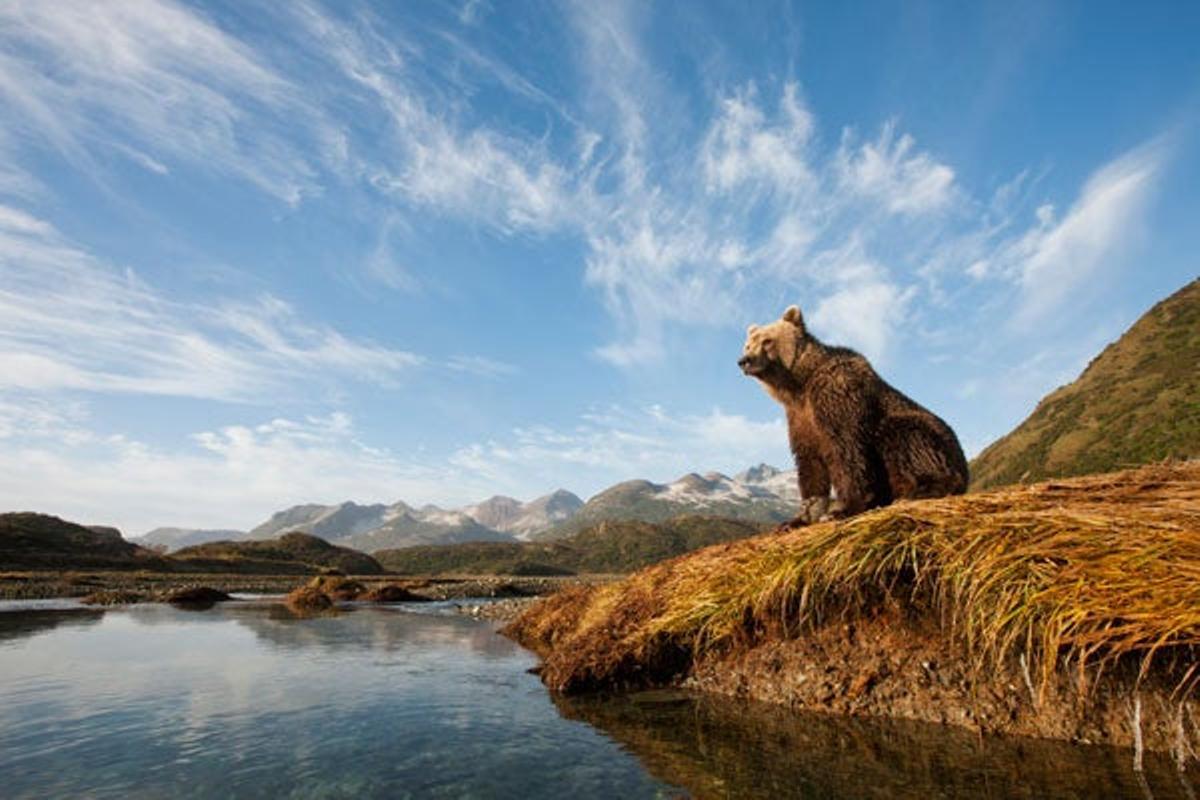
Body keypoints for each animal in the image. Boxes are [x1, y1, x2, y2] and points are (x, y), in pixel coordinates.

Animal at [739, 304, 968, 526]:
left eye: (767, 341)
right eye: (748, 344)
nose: (744, 361)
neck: (798, 385)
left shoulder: (837, 396)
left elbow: (848, 449)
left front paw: (843, 509)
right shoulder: (799, 417)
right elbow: (809, 460)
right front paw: (801, 516)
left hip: (928, 434)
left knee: (905, 435)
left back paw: (919, 491)